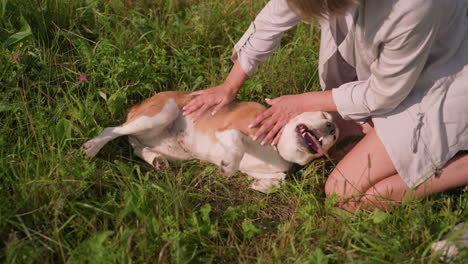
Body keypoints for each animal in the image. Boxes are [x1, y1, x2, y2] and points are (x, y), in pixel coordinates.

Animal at [82, 91, 338, 192]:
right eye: (324, 116)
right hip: (160, 114)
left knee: (136, 146)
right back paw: (92, 148)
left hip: (174, 149)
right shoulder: (229, 132)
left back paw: (156, 160)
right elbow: (237, 146)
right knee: (113, 130)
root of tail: (136, 107)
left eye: (334, 138)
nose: (332, 127)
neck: (277, 148)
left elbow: (280, 179)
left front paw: (261, 185)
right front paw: (229, 167)